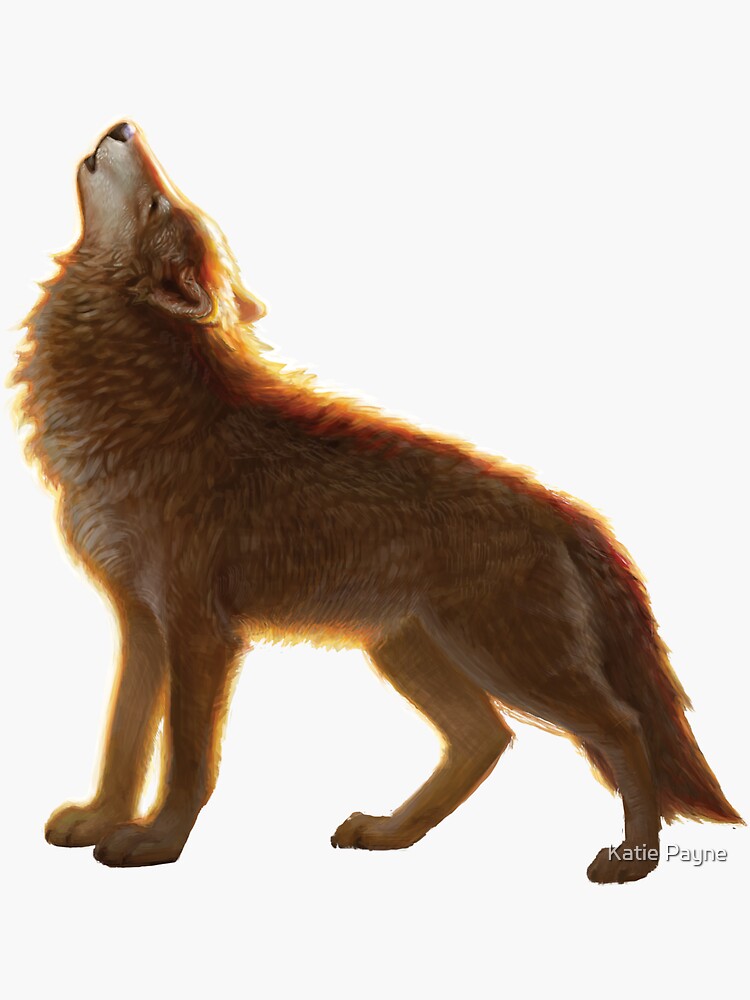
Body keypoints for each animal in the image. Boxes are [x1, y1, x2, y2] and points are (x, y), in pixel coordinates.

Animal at [11, 122, 741, 881]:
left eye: (158, 203)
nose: (123, 128)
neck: (131, 396)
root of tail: (564, 511)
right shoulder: (142, 623)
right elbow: (124, 740)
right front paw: (101, 819)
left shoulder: (199, 631)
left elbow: (187, 759)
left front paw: (157, 842)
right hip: (410, 652)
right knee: (485, 740)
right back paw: (392, 831)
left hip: (510, 662)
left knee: (622, 727)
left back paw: (632, 858)